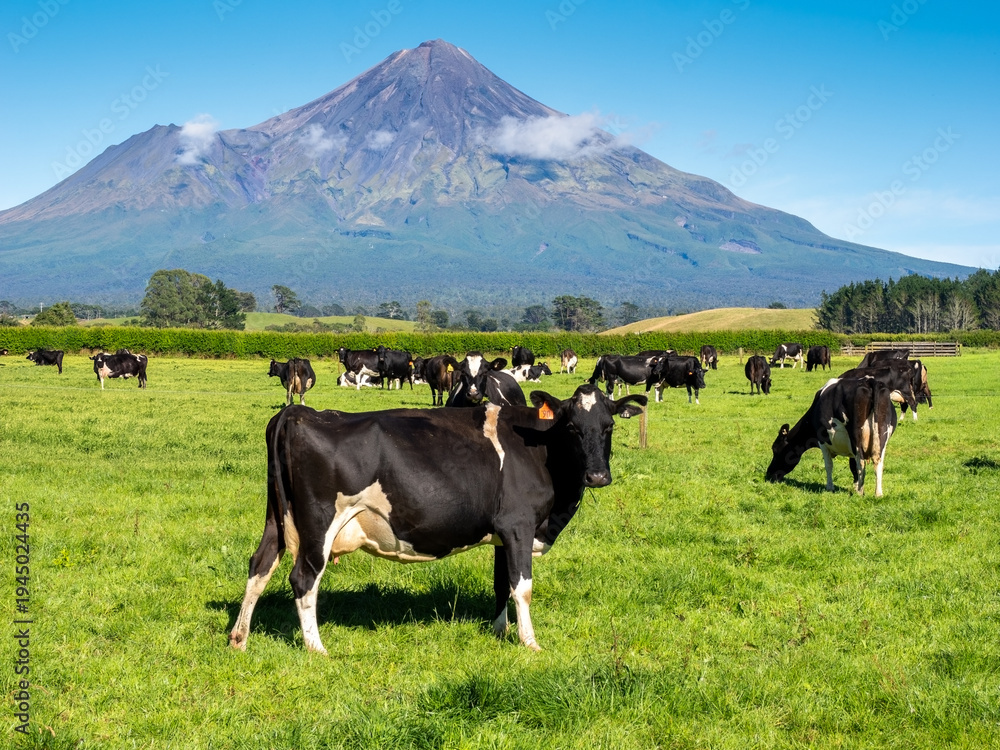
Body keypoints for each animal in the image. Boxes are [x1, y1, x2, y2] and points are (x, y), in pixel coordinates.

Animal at [229, 384, 648, 654]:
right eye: (573, 427)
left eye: (609, 426)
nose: (598, 476)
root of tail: (298, 412)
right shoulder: (519, 525)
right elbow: (522, 587)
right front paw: (530, 643)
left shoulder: (502, 532)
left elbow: (502, 584)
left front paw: (500, 631)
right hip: (319, 523)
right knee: (303, 579)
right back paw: (316, 648)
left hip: (276, 517)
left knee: (259, 565)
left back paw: (239, 639)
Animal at [766, 376, 897, 497]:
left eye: (775, 450)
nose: (769, 475)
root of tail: (869, 381)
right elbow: (852, 466)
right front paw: (855, 487)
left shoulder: (823, 442)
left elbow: (829, 465)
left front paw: (830, 487)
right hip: (882, 438)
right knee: (878, 462)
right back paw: (878, 493)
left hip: (856, 438)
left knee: (861, 463)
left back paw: (860, 493)